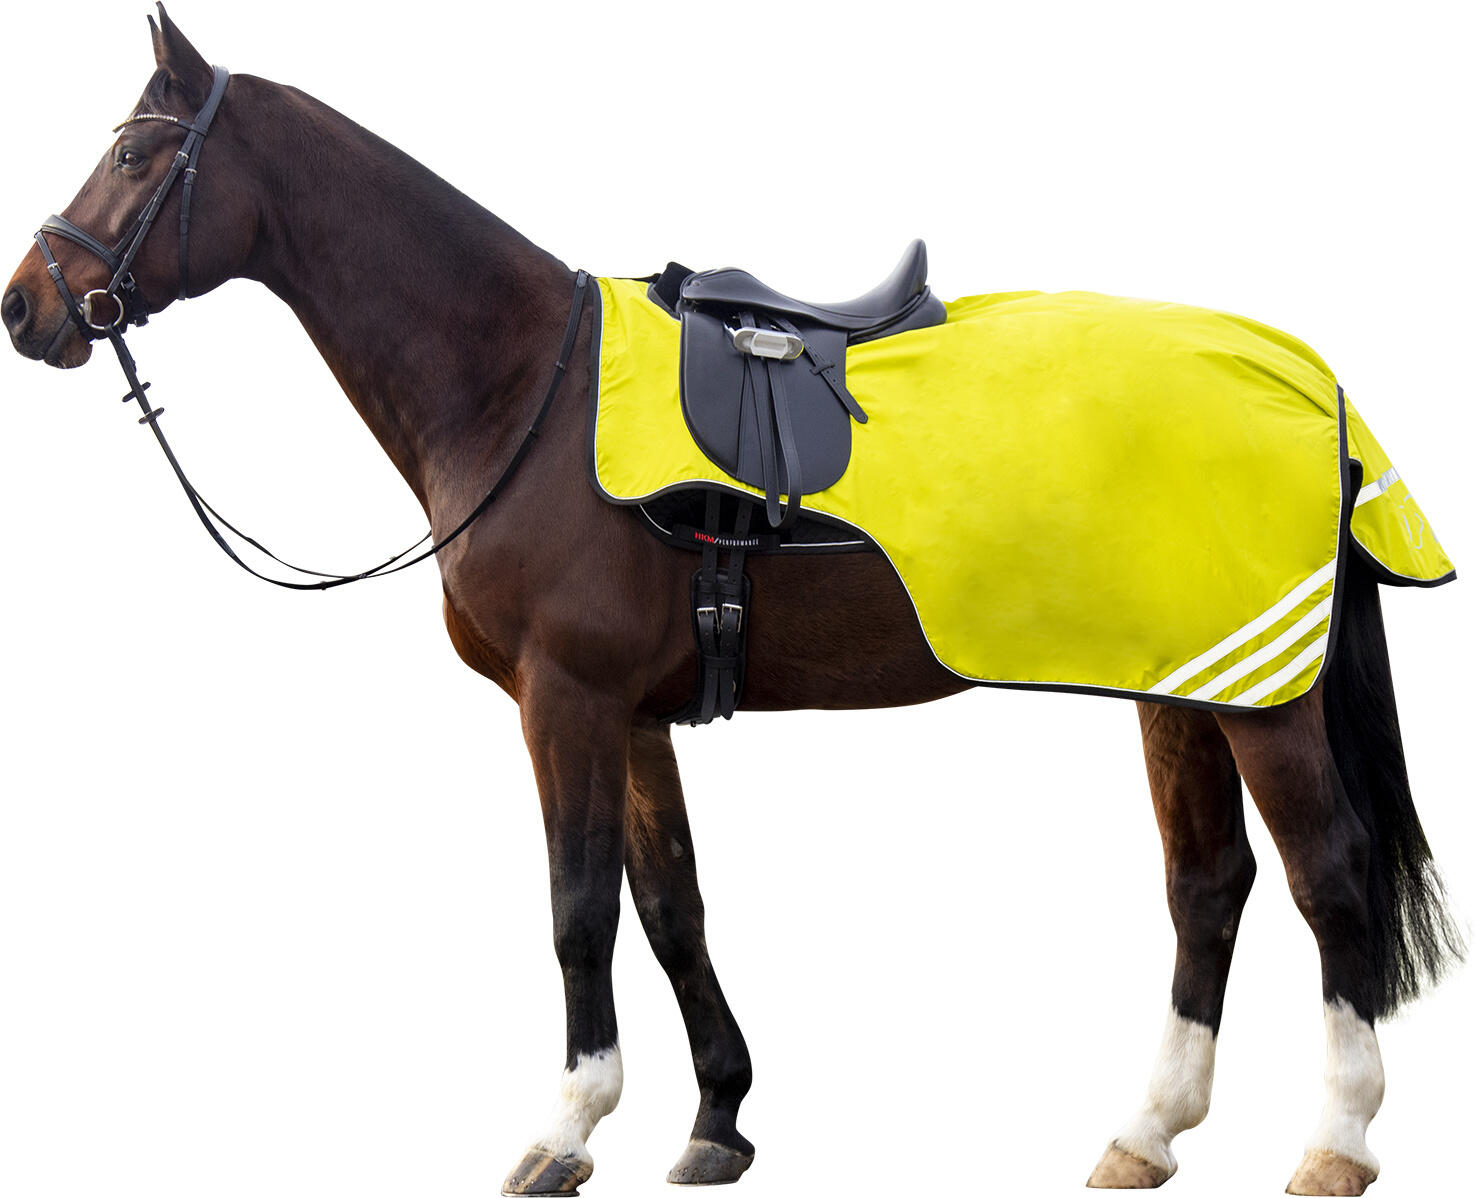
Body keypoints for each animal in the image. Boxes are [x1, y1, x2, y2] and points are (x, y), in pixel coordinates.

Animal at [3, 8, 1463, 1195]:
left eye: (135, 155)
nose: (28, 306)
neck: (523, 385)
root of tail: (1302, 377)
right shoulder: (635, 712)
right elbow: (670, 903)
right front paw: (715, 1120)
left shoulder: (566, 701)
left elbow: (579, 907)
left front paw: (565, 1129)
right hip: (1182, 681)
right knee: (1207, 881)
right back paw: (1144, 1132)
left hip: (1261, 700)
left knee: (1326, 875)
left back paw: (1335, 1140)